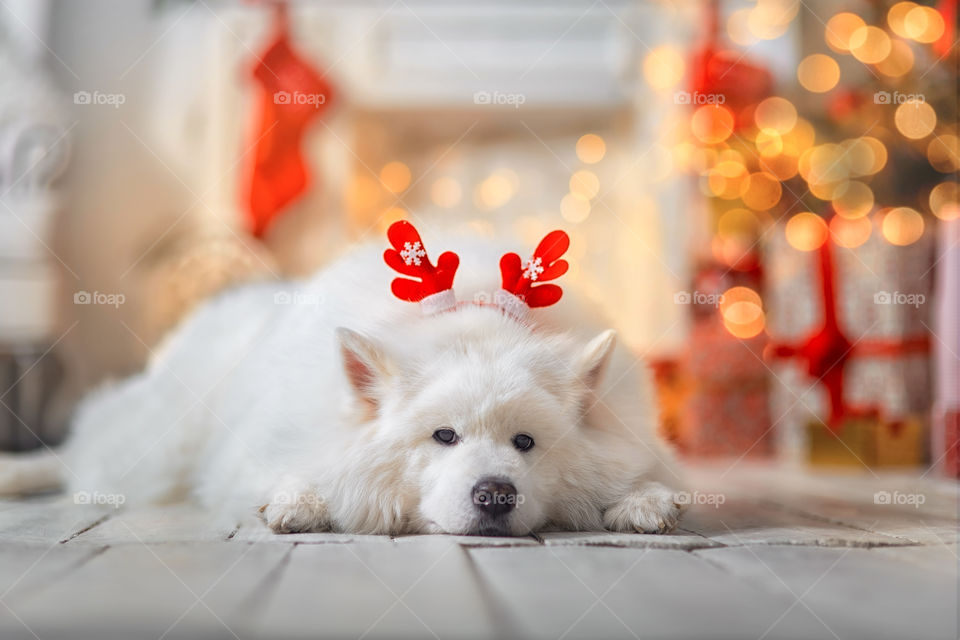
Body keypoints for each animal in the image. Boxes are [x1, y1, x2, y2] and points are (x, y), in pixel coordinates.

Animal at [3, 228, 688, 536]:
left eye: (526, 443)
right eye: (443, 437)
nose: (495, 496)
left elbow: (649, 479)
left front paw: (645, 502)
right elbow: (301, 476)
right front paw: (299, 503)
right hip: (155, 448)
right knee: (80, 456)